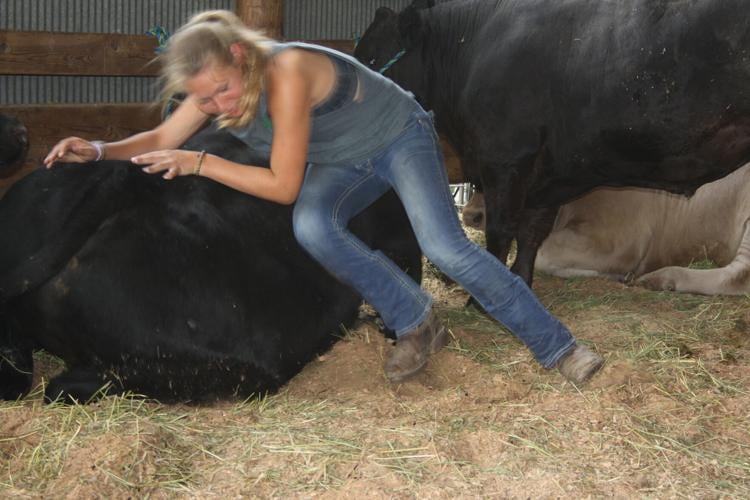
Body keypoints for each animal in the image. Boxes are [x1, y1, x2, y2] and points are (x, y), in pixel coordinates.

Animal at [356, 0, 750, 286]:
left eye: (373, 57)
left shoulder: (507, 160)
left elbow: (501, 231)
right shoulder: (551, 173)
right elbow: (532, 233)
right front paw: (521, 282)